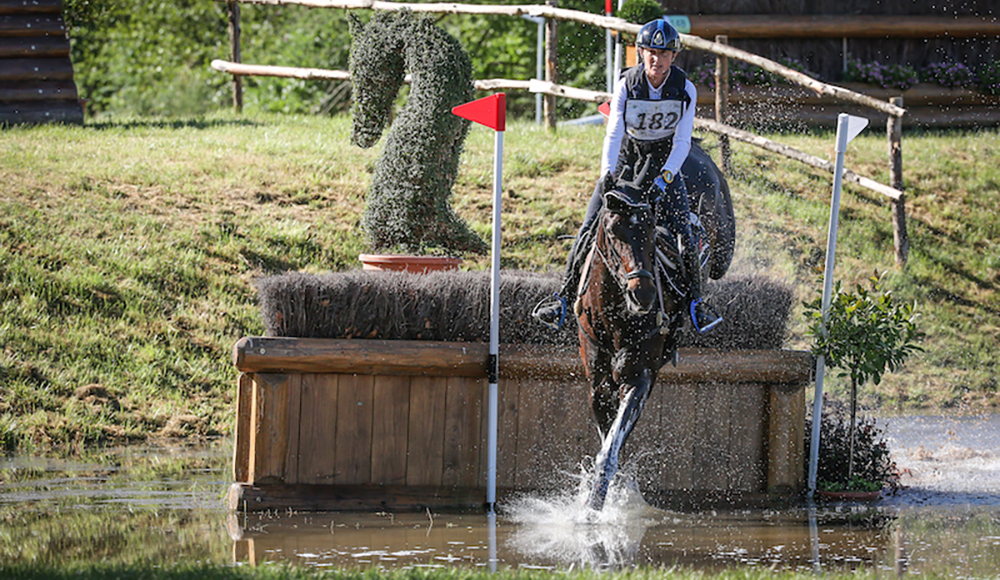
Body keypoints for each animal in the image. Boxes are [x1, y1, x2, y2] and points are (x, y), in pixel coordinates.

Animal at [572, 143, 736, 510]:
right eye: (612, 230)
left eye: (649, 230)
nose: (644, 294)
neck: (615, 313)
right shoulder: (598, 383)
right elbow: (608, 438)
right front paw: (604, 496)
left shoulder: (640, 377)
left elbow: (611, 448)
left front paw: (596, 507)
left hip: (721, 241)